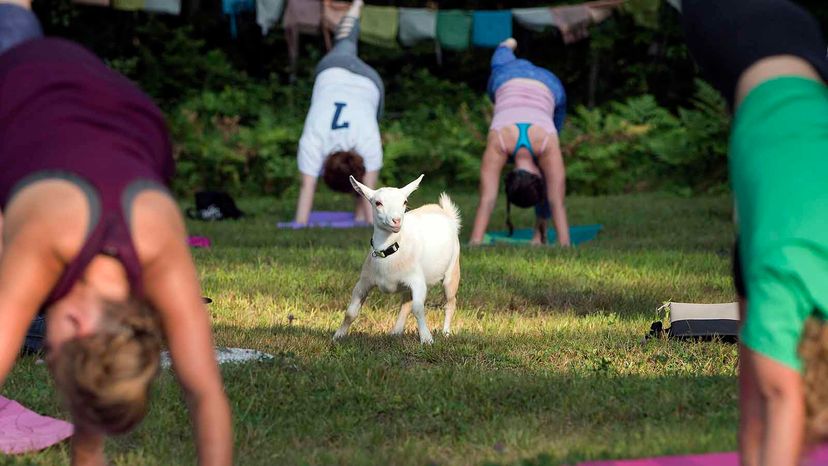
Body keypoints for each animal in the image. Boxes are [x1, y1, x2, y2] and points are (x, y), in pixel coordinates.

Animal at [330, 173, 460, 344]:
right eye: (378, 203)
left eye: (405, 202)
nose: (397, 220)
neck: (390, 251)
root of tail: (444, 212)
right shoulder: (364, 282)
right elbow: (351, 312)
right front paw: (338, 336)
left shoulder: (418, 282)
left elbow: (418, 309)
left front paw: (427, 339)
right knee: (406, 304)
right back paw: (396, 332)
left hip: (452, 271)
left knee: (450, 302)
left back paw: (445, 332)